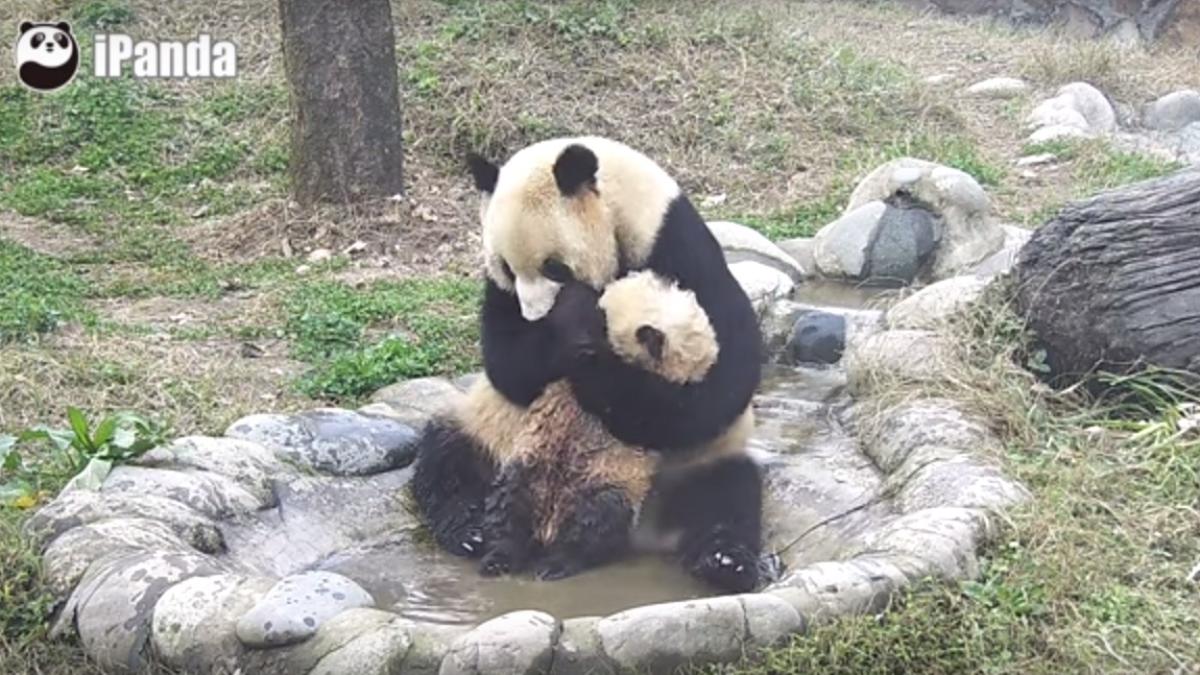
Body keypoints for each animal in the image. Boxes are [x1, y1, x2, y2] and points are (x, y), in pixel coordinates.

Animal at [479, 270, 721, 581]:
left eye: (604, 316)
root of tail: (549, 523)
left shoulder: (647, 397)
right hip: (528, 464)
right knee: (507, 508)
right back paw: (499, 559)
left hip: (608, 483)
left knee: (595, 523)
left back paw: (558, 562)